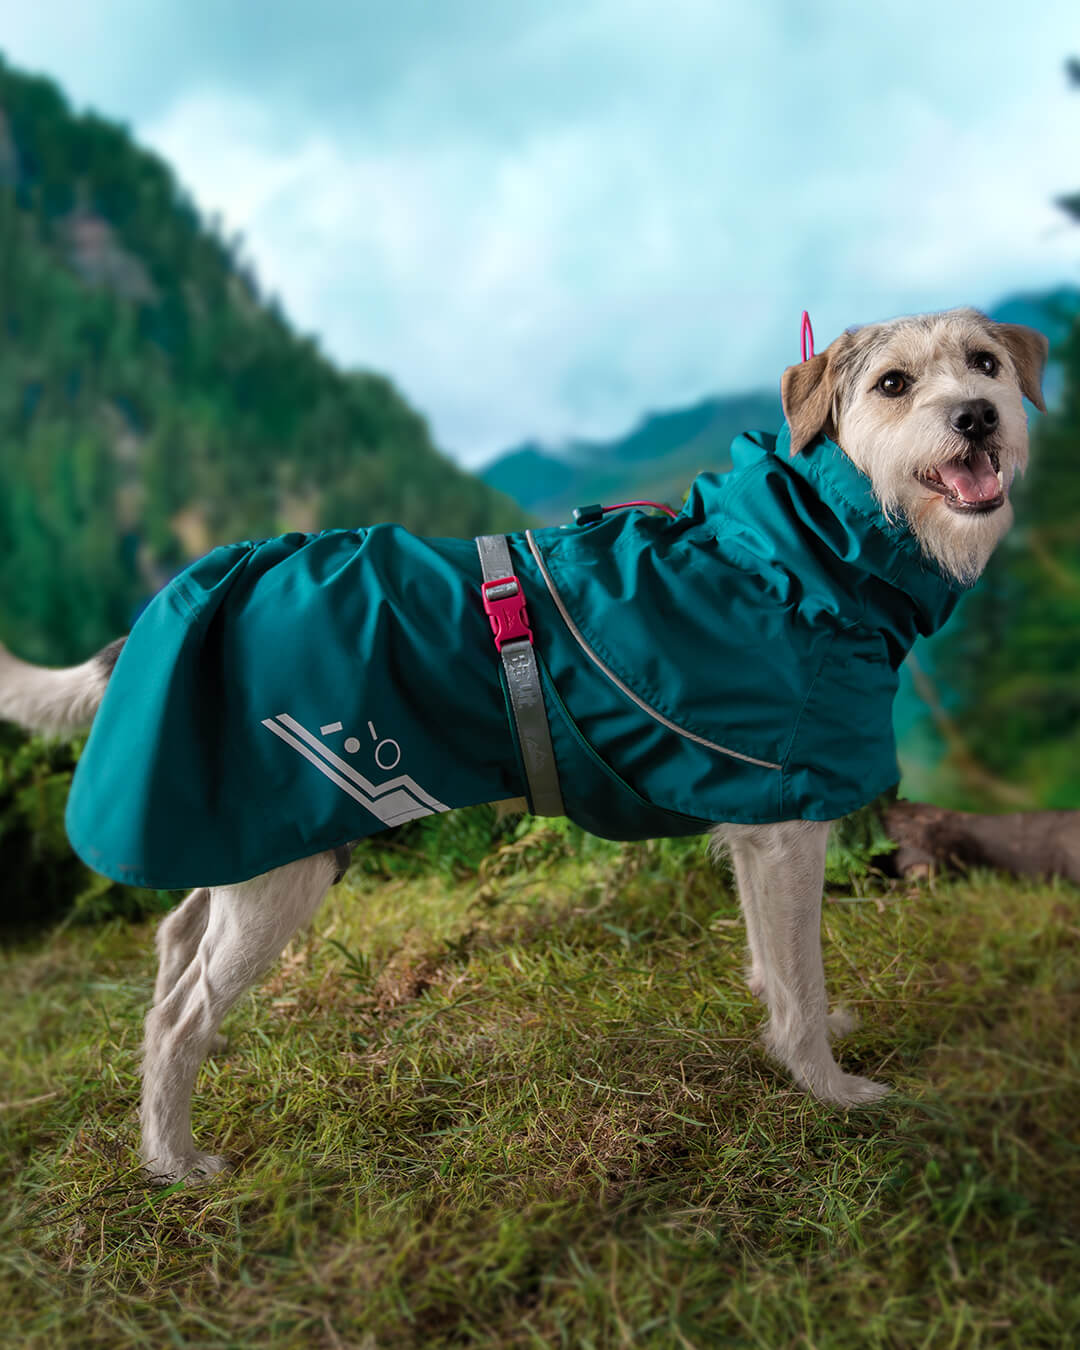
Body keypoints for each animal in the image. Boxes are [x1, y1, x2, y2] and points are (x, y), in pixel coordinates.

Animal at [0, 306, 1047, 1182]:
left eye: (986, 364)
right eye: (893, 385)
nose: (977, 419)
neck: (795, 559)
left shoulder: (759, 835)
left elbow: (775, 962)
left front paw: (812, 1036)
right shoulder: (786, 829)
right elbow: (798, 970)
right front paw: (827, 1086)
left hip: (251, 852)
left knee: (175, 944)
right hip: (281, 867)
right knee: (179, 1013)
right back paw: (174, 1160)